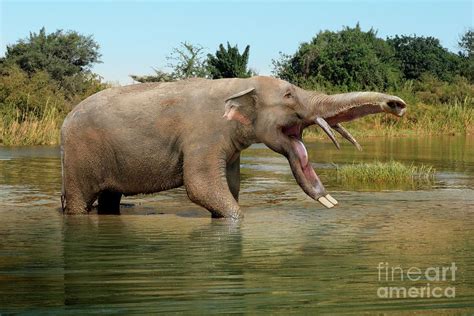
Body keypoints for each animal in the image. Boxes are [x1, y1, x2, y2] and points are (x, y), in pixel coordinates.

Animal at [61, 76, 406, 218]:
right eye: (289, 95)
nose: (399, 105)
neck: (239, 83)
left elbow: (231, 186)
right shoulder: (203, 136)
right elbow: (200, 187)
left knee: (109, 198)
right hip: (78, 157)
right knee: (79, 202)